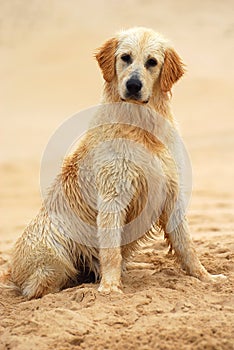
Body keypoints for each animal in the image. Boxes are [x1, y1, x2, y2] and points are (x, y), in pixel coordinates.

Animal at [6, 26, 225, 298]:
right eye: (125, 57)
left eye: (152, 62)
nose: (133, 85)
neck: (139, 124)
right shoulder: (113, 194)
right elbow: (110, 250)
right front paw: (110, 288)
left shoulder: (172, 190)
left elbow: (186, 244)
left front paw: (206, 276)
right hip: (54, 249)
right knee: (42, 285)